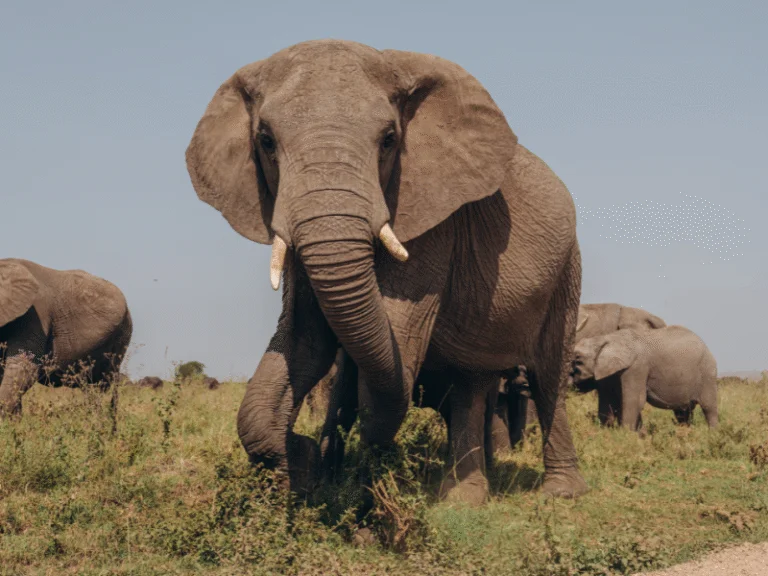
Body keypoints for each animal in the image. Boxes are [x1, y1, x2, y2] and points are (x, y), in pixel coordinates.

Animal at [185, 39, 588, 505]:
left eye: (390, 140)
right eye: (265, 141)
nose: (307, 446)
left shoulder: (433, 220)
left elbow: (393, 342)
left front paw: (329, 474)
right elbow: (305, 340)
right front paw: (302, 469)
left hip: (567, 271)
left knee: (549, 377)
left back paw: (559, 493)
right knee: (470, 381)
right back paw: (465, 498)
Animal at [570, 325, 718, 430]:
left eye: (578, 361)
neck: (606, 338)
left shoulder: (637, 367)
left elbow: (634, 401)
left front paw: (626, 436)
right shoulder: (609, 374)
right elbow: (608, 402)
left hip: (707, 373)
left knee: (708, 407)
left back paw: (712, 434)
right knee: (682, 412)